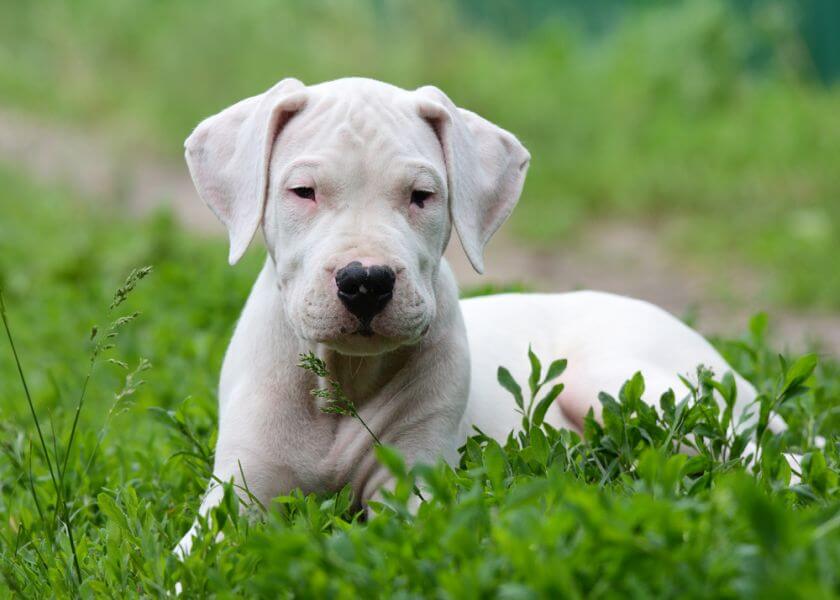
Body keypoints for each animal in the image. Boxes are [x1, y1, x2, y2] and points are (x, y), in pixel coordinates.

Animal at [176, 77, 776, 556]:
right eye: (303, 191)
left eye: (421, 196)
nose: (366, 281)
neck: (344, 377)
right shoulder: (238, 495)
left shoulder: (411, 485)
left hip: (624, 378)